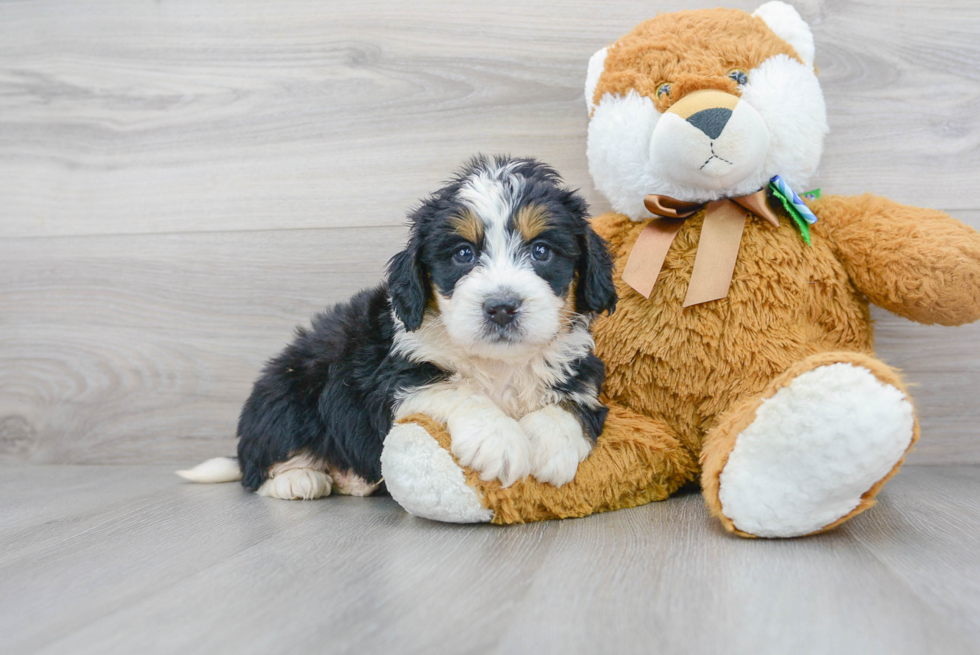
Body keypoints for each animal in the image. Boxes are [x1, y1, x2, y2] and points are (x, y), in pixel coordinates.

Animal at [178, 155, 612, 502]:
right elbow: (459, 390)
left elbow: (570, 405)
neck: (498, 363)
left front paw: (550, 445)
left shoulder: (580, 370)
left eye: (541, 251)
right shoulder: (396, 377)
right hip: (289, 392)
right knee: (260, 468)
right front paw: (500, 439)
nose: (501, 307)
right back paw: (299, 479)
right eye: (463, 254)